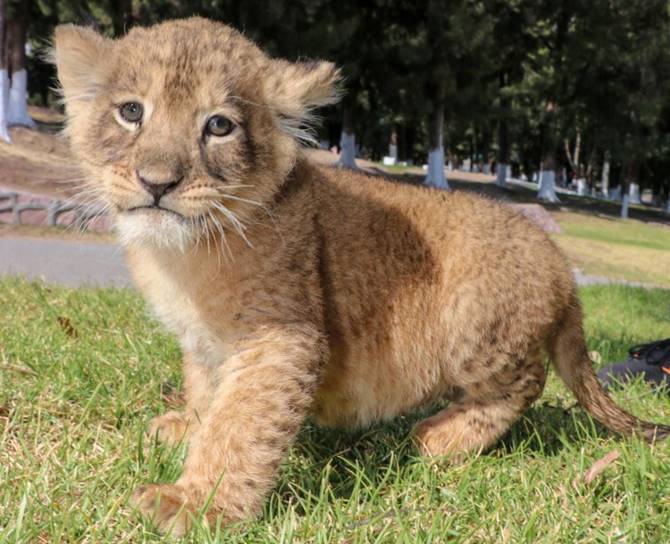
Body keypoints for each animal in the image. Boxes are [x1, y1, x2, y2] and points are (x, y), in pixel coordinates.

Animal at [52, 17, 668, 536]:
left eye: (219, 126)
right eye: (131, 112)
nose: (158, 182)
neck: (183, 257)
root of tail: (562, 266)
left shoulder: (283, 337)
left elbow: (243, 424)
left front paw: (198, 505)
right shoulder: (206, 343)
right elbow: (210, 392)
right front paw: (189, 426)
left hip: (478, 331)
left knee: (526, 382)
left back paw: (438, 438)